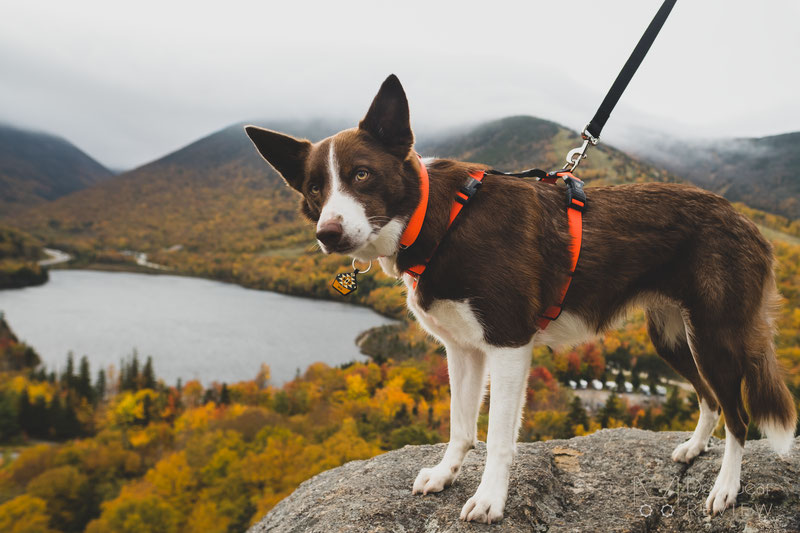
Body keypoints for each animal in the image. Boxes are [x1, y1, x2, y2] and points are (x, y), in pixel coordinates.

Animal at [247, 74, 796, 520]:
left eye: (361, 174)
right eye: (314, 189)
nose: (329, 234)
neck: (441, 219)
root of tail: (745, 221)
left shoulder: (509, 344)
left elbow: (498, 440)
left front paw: (490, 499)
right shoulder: (463, 349)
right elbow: (461, 426)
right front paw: (445, 474)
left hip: (716, 335)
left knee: (739, 416)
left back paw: (725, 489)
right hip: (673, 337)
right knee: (710, 397)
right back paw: (695, 448)